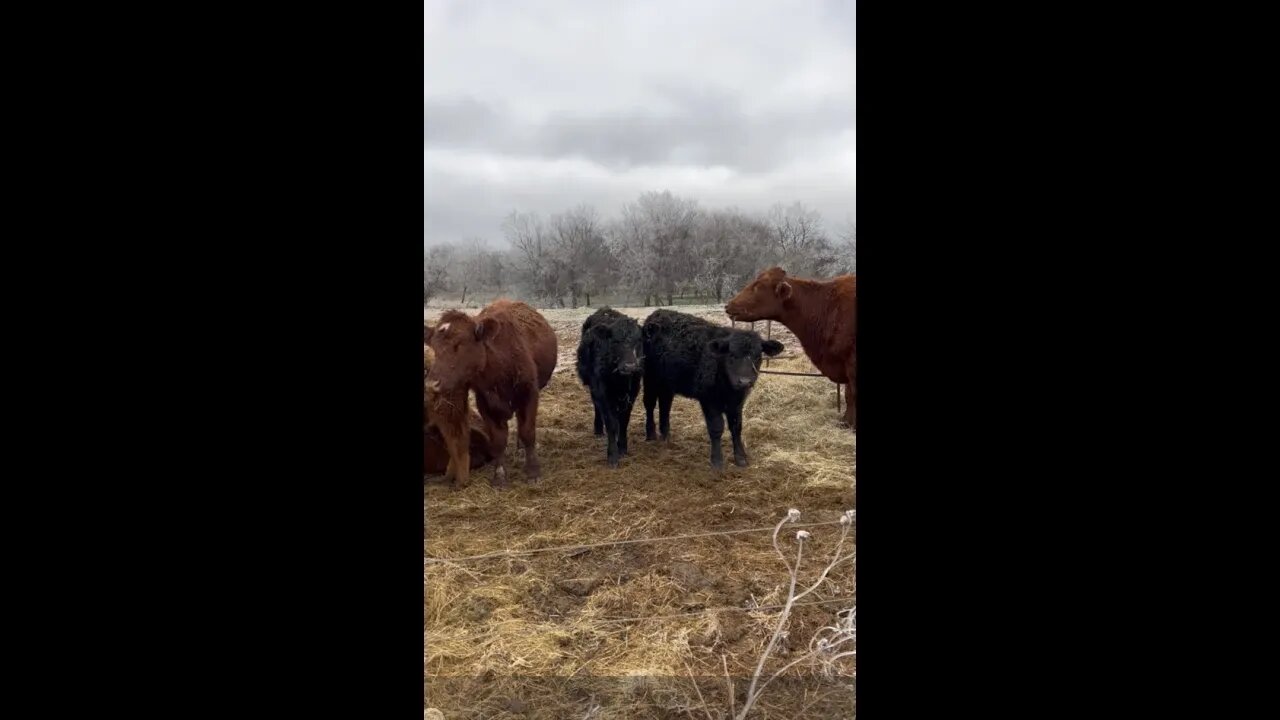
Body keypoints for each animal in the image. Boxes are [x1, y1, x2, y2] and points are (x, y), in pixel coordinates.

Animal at [578, 303, 645, 466]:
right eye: (615, 341)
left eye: (638, 340)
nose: (630, 366)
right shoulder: (603, 393)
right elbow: (611, 423)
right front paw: (612, 455)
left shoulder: (632, 393)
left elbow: (624, 420)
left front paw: (623, 447)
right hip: (593, 386)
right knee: (596, 407)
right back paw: (598, 429)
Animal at [637, 307, 778, 466]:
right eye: (731, 355)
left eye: (758, 356)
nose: (744, 381)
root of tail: (657, 313)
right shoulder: (709, 399)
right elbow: (716, 427)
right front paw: (717, 460)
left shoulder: (737, 403)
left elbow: (736, 427)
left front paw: (741, 458)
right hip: (650, 378)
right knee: (649, 403)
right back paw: (651, 434)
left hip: (667, 383)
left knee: (665, 404)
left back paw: (665, 436)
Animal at [727, 266, 855, 427]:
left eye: (758, 286)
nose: (728, 305)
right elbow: (848, 394)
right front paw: (846, 421)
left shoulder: (852, 362)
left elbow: (851, 395)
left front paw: (849, 423)